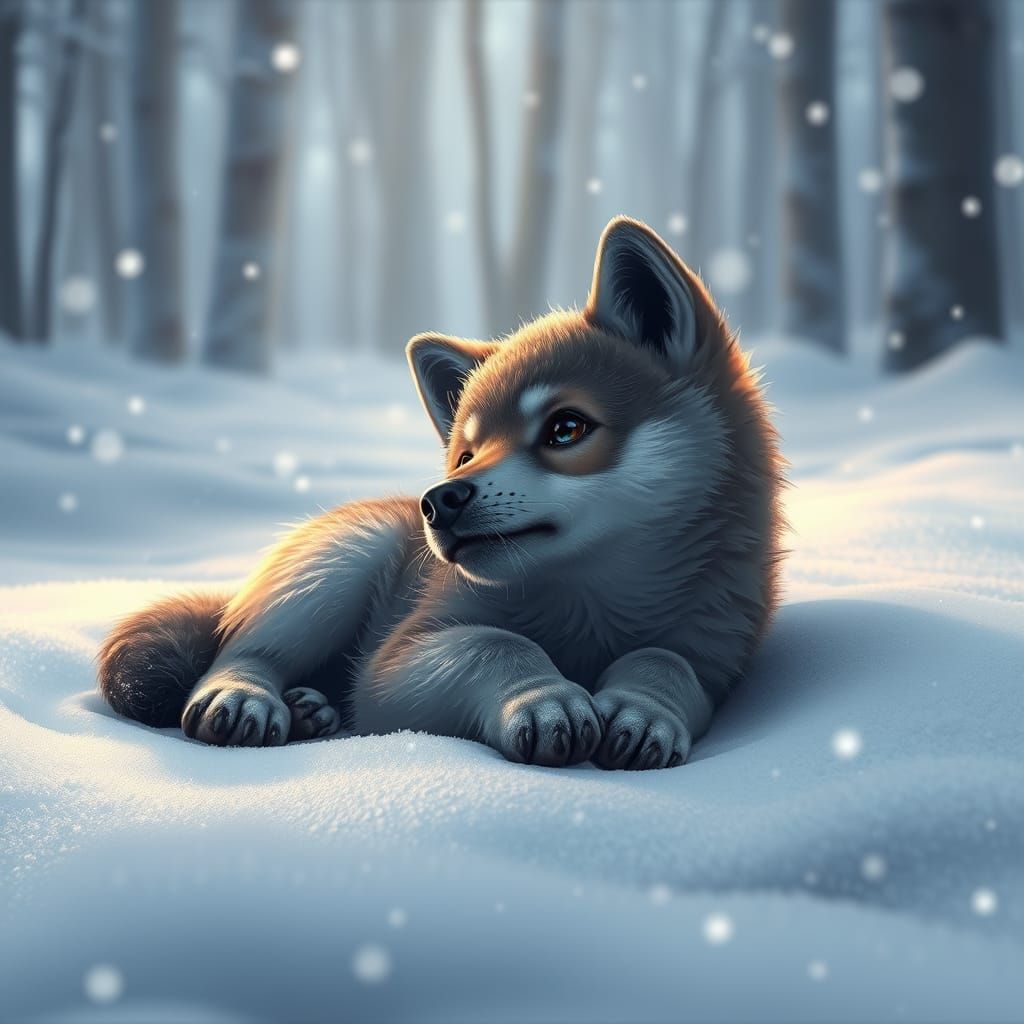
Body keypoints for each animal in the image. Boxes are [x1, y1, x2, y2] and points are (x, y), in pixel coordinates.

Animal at [98, 217, 784, 769]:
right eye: (467, 453)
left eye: (566, 428)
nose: (440, 500)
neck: (593, 610)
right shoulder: (394, 663)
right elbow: (497, 644)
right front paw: (546, 698)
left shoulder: (713, 654)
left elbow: (666, 662)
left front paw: (644, 711)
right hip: (335, 572)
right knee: (242, 647)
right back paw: (243, 696)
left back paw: (310, 709)